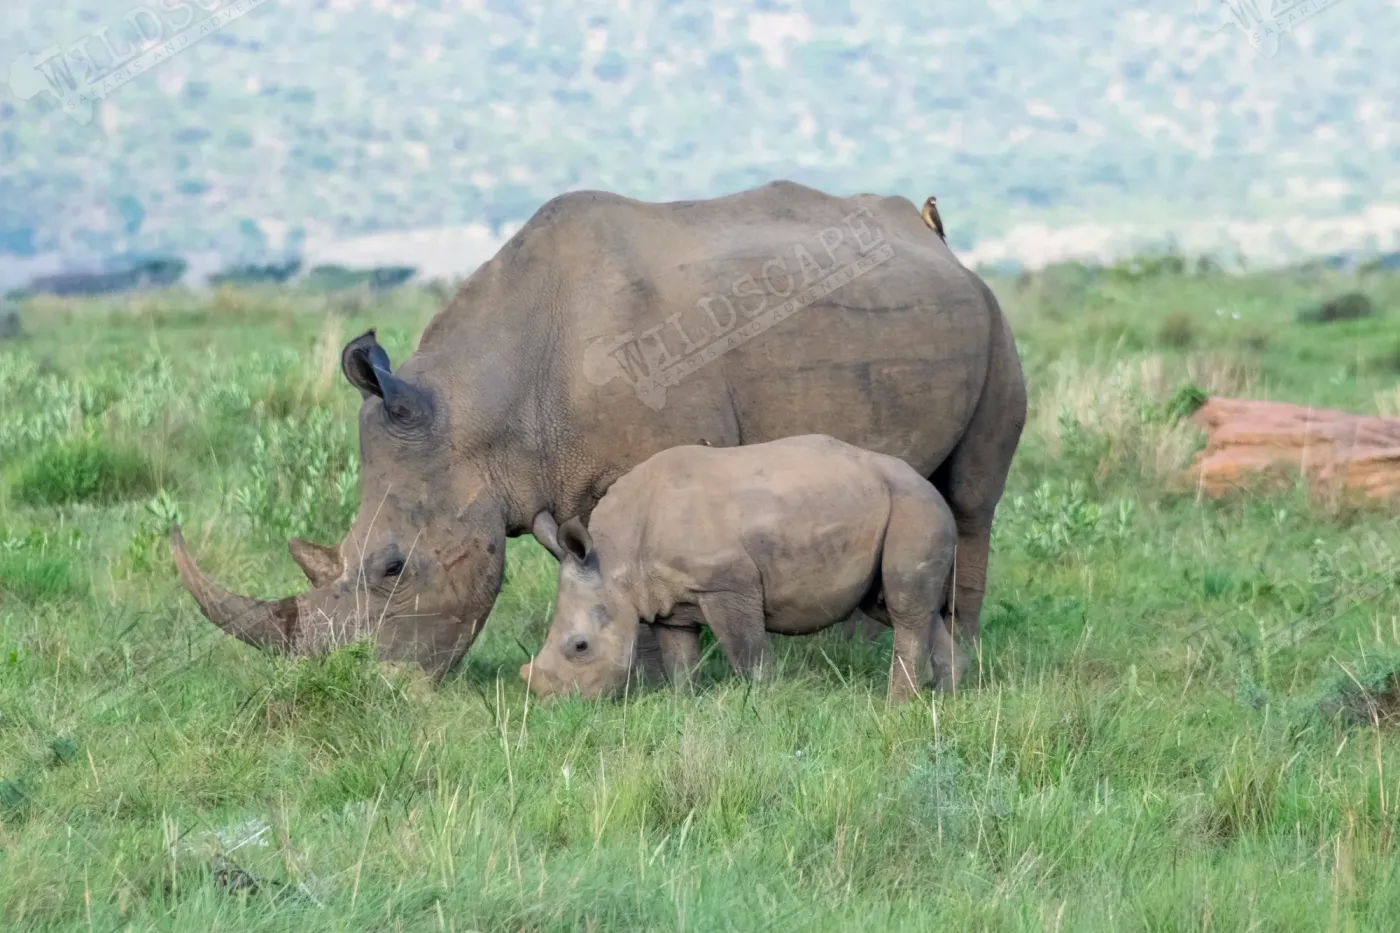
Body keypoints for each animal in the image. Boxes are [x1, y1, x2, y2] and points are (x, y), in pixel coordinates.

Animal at [519, 434, 962, 703]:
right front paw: (684, 703)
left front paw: (764, 701)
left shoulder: (726, 585)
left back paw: (896, 704)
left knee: (903, 606)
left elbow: (748, 654)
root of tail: (927, 485)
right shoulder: (666, 601)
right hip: (891, 504)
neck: (613, 557)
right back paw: (947, 696)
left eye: (580, 647)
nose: (555, 705)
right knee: (899, 606)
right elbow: (679, 659)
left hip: (914, 506)